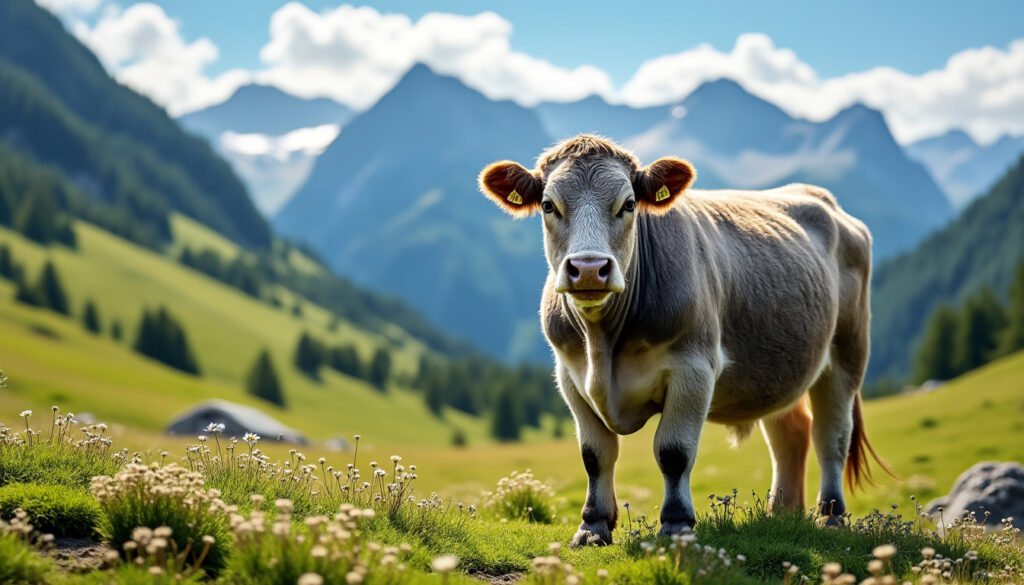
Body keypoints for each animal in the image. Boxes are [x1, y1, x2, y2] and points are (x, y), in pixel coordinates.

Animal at [478, 134, 888, 547]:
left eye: (628, 204)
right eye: (549, 205)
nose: (590, 269)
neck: (602, 344)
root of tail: (822, 200)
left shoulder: (694, 369)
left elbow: (673, 452)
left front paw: (676, 524)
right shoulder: (570, 376)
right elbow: (594, 454)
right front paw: (593, 527)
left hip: (847, 355)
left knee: (832, 436)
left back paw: (831, 516)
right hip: (780, 367)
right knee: (791, 433)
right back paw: (782, 515)